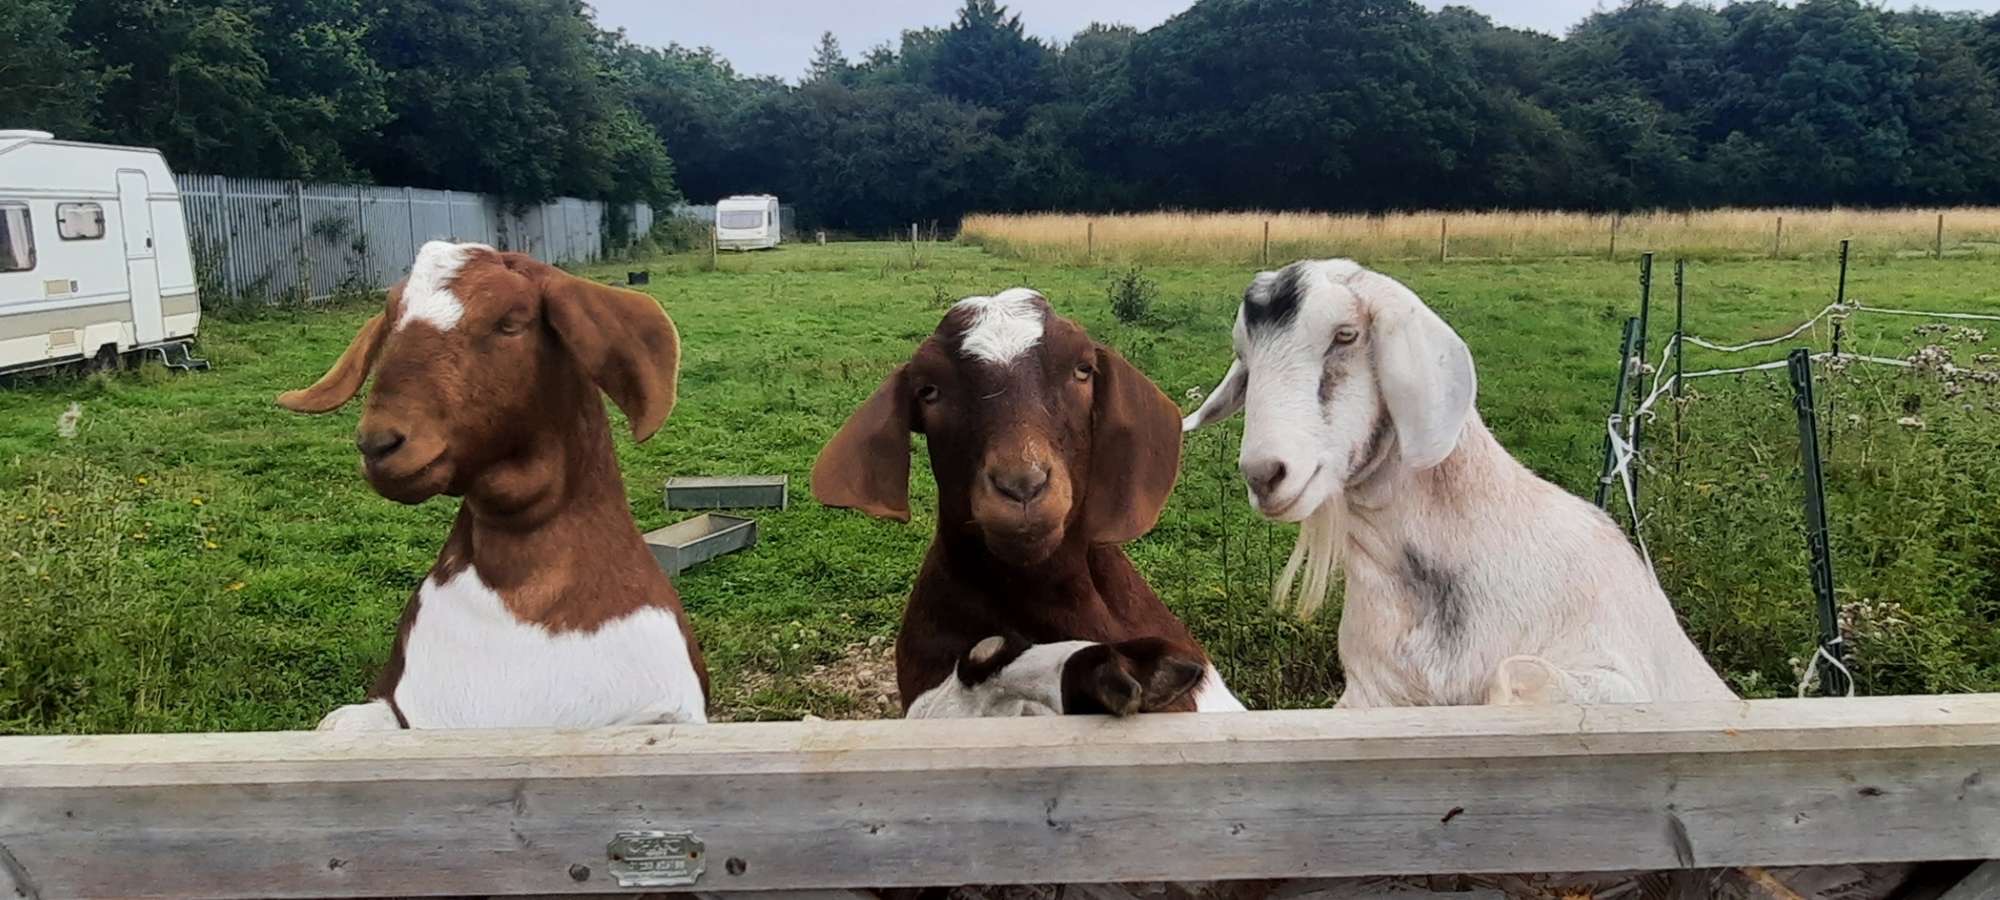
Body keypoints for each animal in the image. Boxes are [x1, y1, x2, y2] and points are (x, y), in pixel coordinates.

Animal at [1185, 260, 1732, 707]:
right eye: (1245, 357)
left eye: (1345, 335)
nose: (1264, 474)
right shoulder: (1373, 695)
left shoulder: (1615, 677)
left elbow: (1511, 674)